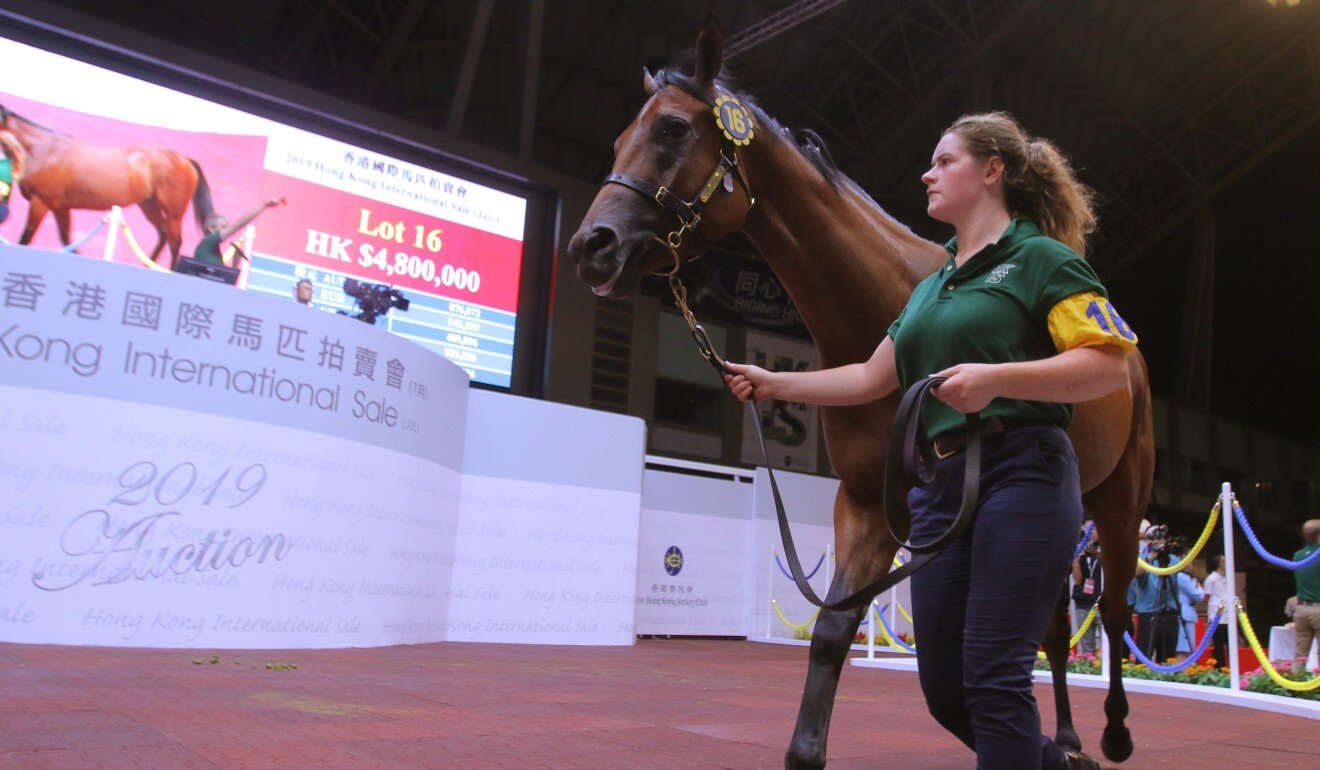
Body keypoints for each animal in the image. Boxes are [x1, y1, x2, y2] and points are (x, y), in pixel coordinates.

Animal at [0, 103, 216, 269]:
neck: (44, 152)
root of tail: (184, 160)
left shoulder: (40, 203)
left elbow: (26, 239)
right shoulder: (60, 207)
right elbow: (66, 240)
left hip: (173, 211)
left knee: (175, 242)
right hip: (149, 205)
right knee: (163, 234)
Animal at [567, 18, 1156, 770]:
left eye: (672, 129)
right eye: (619, 139)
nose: (592, 245)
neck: (881, 301)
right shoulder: (864, 503)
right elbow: (832, 630)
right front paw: (806, 749)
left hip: (1117, 504)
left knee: (1109, 609)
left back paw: (1112, 732)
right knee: (1053, 626)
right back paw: (1072, 740)